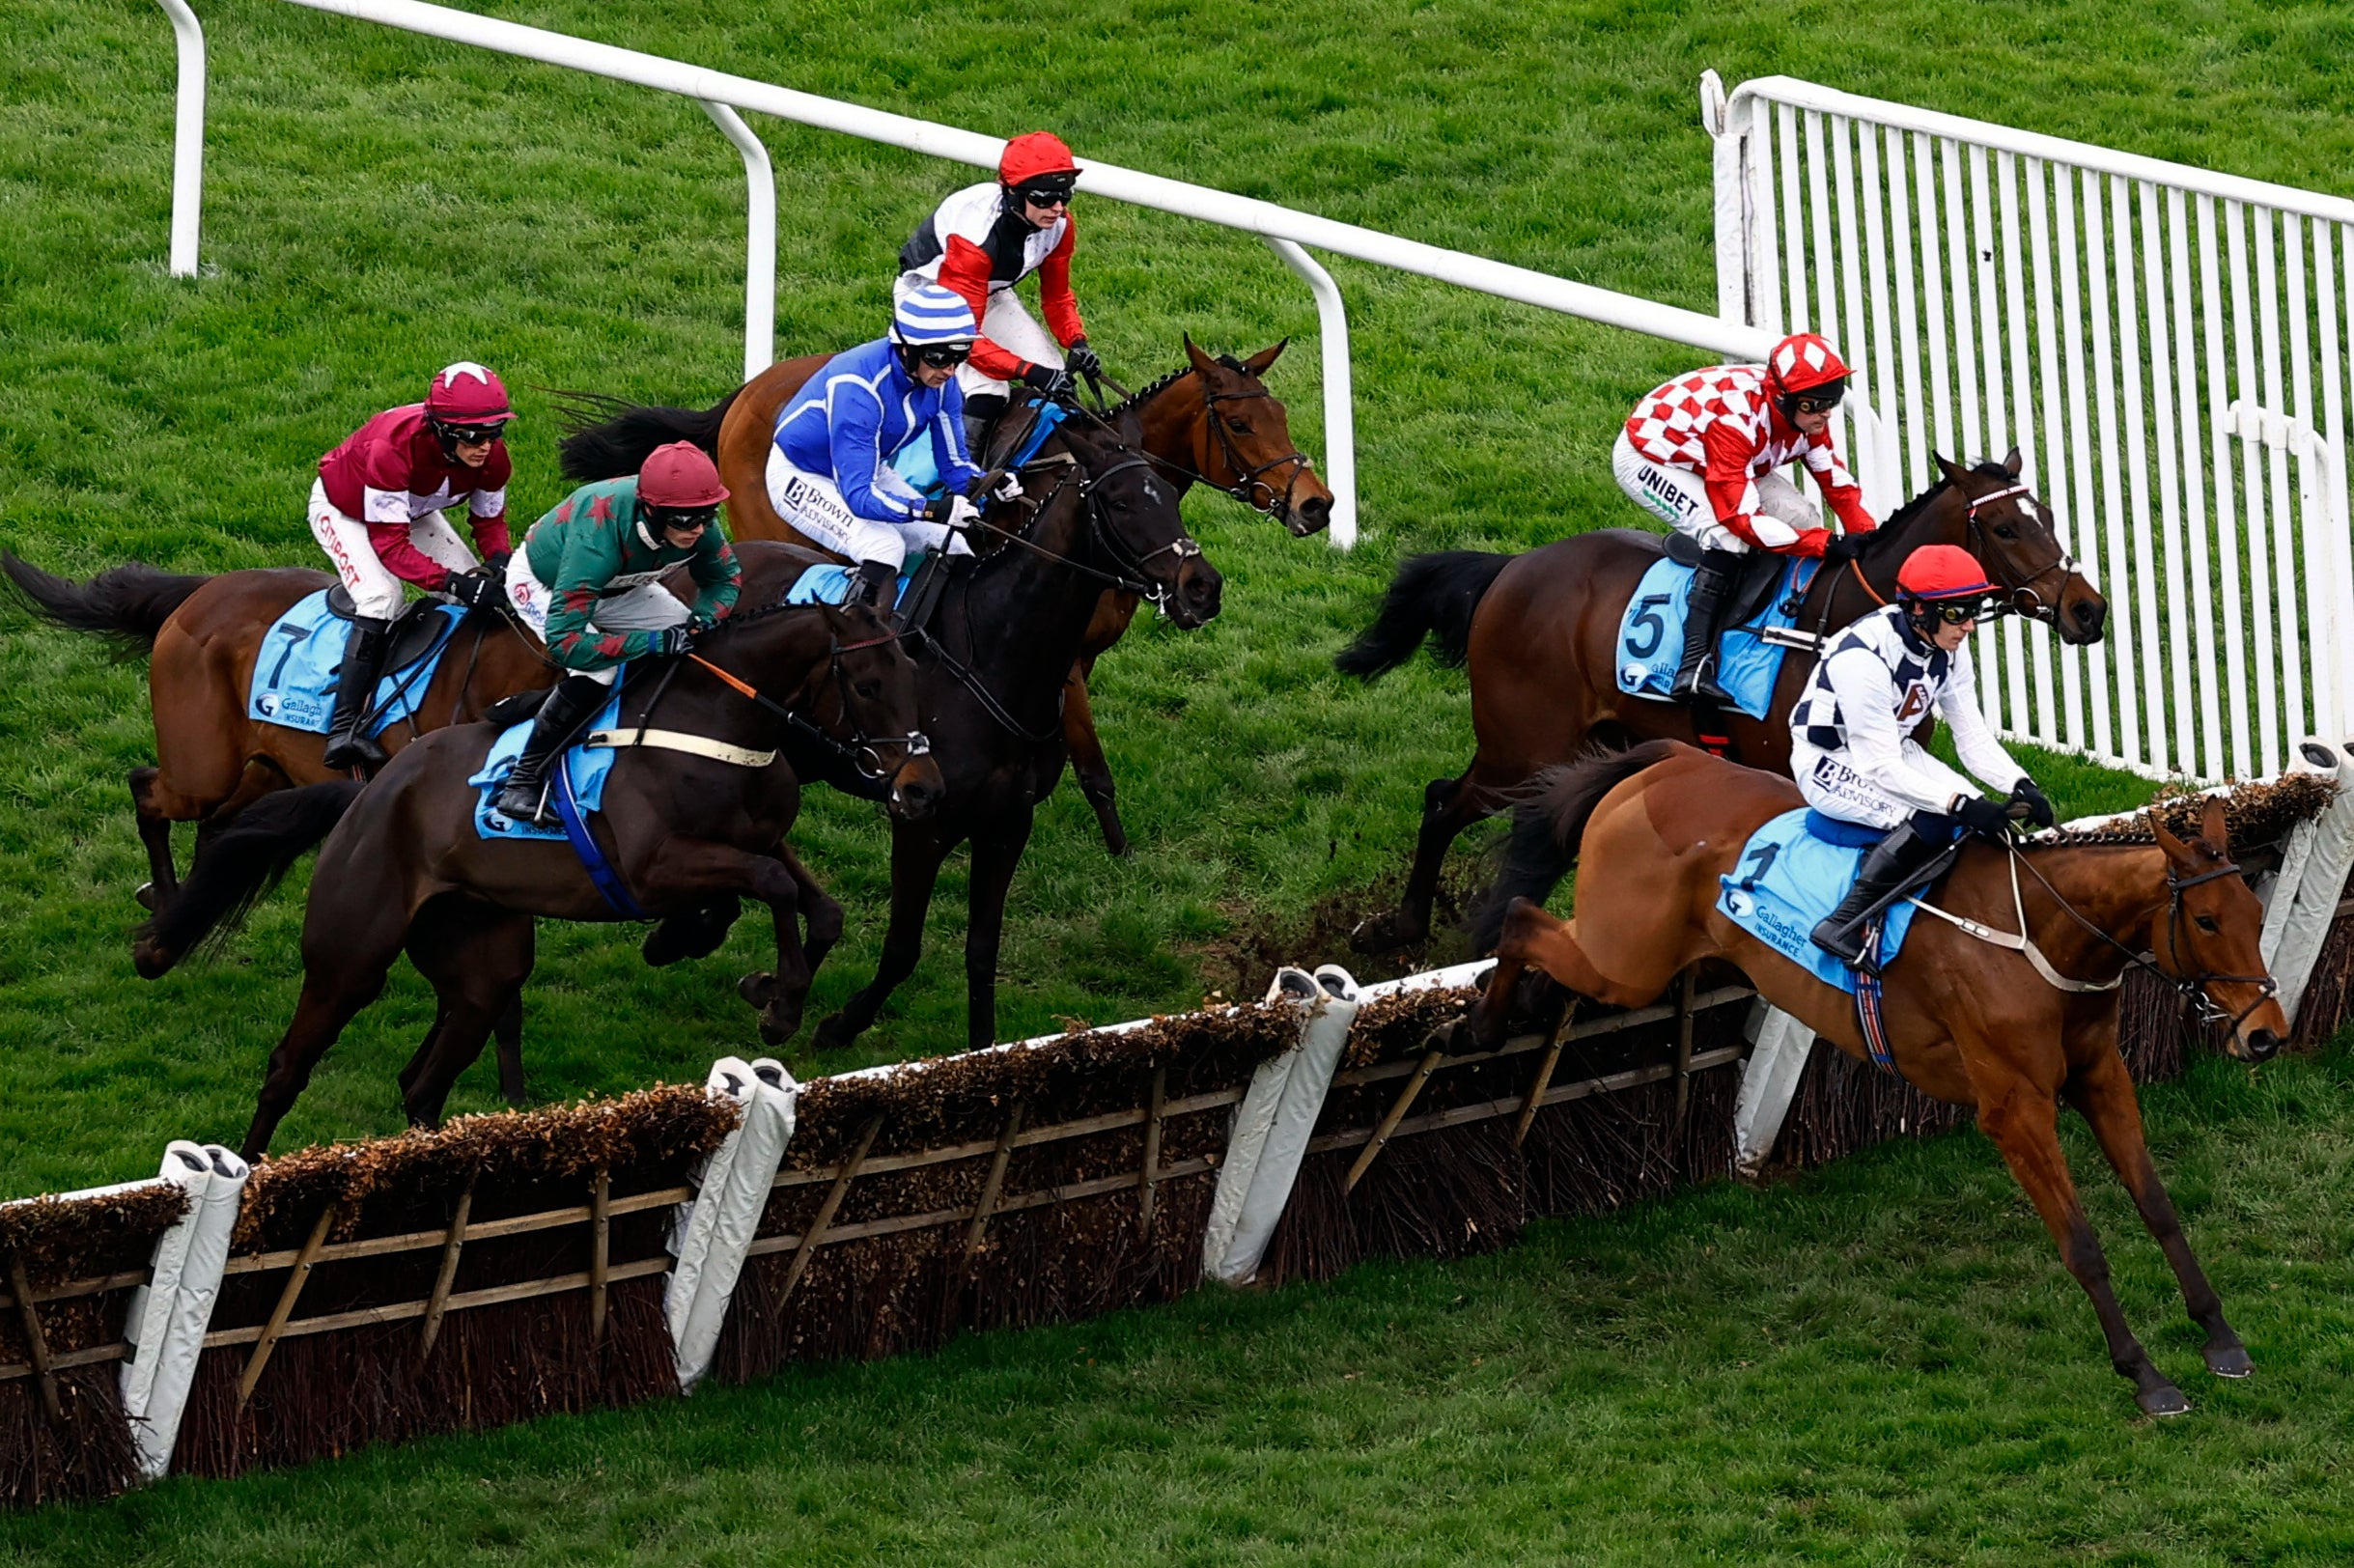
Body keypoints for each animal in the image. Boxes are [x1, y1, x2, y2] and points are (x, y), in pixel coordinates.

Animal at [137, 588, 941, 1158]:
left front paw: (765, 982)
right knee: (288, 1066)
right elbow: (768, 890)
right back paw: (249, 1169)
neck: (712, 726)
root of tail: (366, 795)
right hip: (350, 955)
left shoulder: (760, 839)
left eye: (914, 676)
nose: (920, 788)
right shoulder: (653, 867)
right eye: (867, 684)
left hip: (480, 959)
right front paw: (775, 1000)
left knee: (423, 1080)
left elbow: (812, 904)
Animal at [548, 331, 1328, 856]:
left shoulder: (1074, 652)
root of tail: (744, 395)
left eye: (1284, 414)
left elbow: (1083, 761)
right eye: (1239, 423)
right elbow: (1090, 765)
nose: (1316, 505)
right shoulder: (1063, 654)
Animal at [1346, 444, 2118, 946]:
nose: (2089, 611)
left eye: (2050, 514)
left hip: (1585, 744)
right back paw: (1404, 929)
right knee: (1442, 802)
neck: (1848, 618)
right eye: (2006, 527)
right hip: (1519, 746)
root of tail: (1511, 568)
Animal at [1478, 739, 2287, 1413]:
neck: (2040, 939)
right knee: (1519, 918)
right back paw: (1486, 1027)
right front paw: (2145, 1375)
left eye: (2253, 911)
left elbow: (2158, 1206)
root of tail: (1670, 758)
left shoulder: (2100, 1075)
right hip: (1626, 960)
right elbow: (2081, 1244)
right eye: (2206, 921)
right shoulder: (2014, 1107)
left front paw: (2219, 1336)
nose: (2267, 1035)